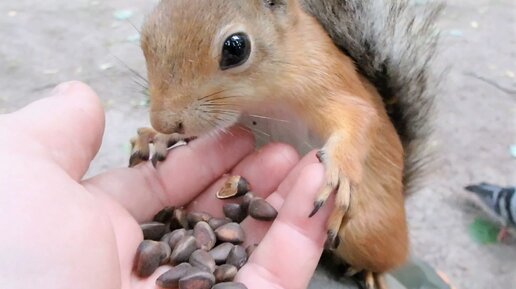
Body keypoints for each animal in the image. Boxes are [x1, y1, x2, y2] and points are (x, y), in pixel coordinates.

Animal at [129, 1, 444, 286]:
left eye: (236, 48)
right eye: (146, 36)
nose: (165, 122)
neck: (261, 101)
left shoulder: (326, 79)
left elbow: (360, 116)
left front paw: (339, 172)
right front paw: (157, 137)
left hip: (365, 231)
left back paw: (370, 272)